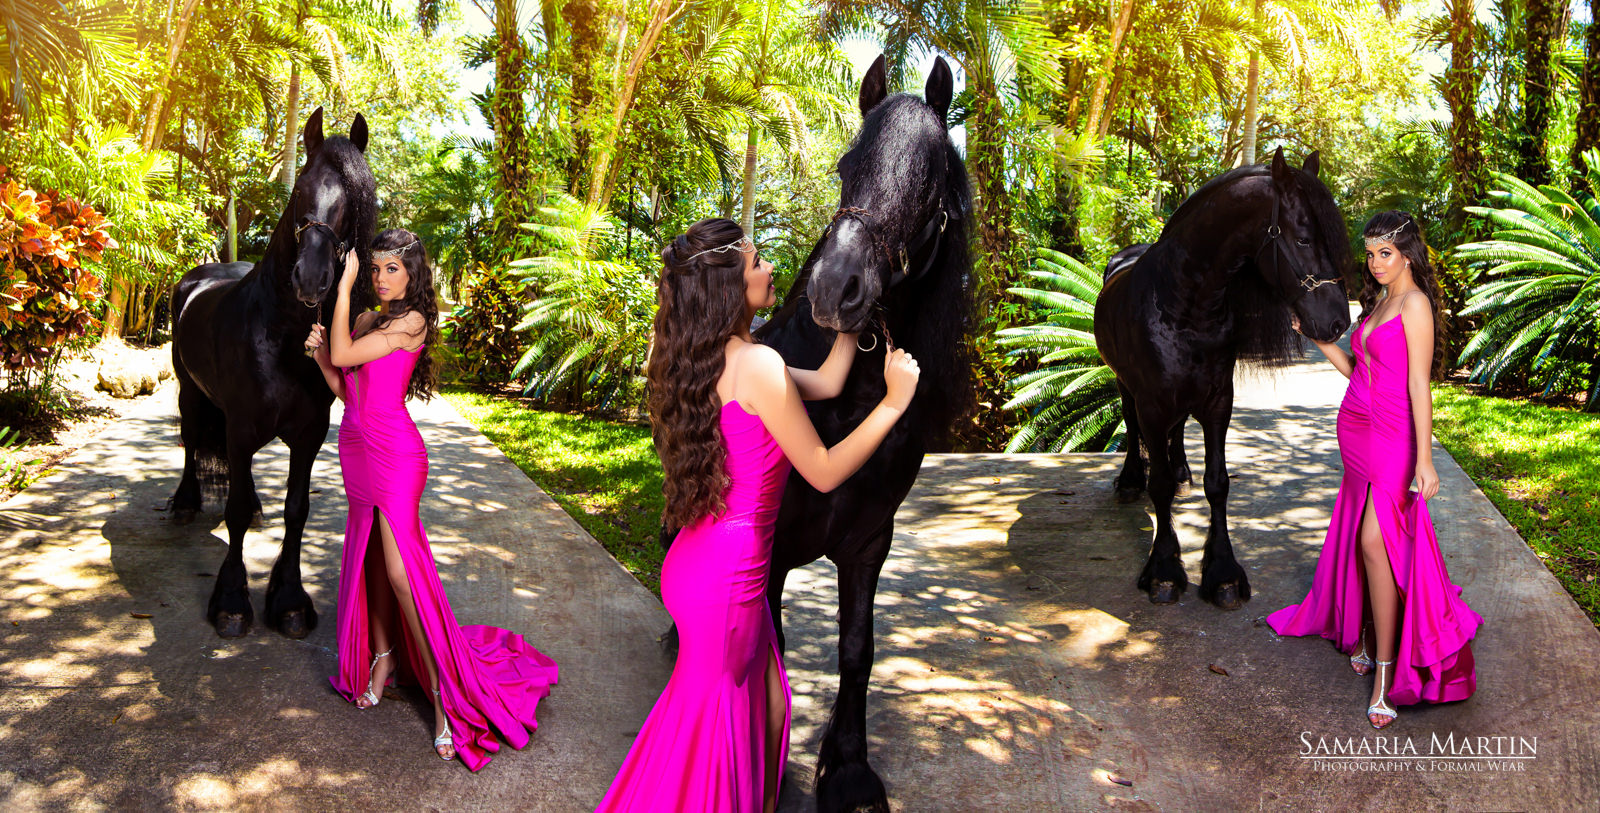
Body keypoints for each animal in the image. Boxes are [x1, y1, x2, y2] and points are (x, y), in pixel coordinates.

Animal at [169, 108, 374, 636]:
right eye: (300, 188)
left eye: (350, 202)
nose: (311, 279)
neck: (280, 336)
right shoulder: (241, 428)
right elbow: (235, 509)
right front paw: (231, 601)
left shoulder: (309, 434)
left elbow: (296, 509)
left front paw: (289, 600)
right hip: (188, 392)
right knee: (191, 442)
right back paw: (184, 502)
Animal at [758, 57, 972, 813]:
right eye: (847, 167)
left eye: (930, 184)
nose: (834, 290)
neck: (848, 404)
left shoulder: (869, 540)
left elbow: (857, 646)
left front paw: (847, 767)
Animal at [1088, 149, 1350, 611]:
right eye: (1303, 238)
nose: (1339, 320)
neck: (1183, 304)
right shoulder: (1152, 404)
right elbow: (1157, 485)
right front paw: (1165, 570)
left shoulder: (1217, 402)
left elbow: (1218, 483)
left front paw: (1222, 572)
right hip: (1125, 386)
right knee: (1131, 426)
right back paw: (1130, 479)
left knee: (1176, 436)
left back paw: (1180, 470)